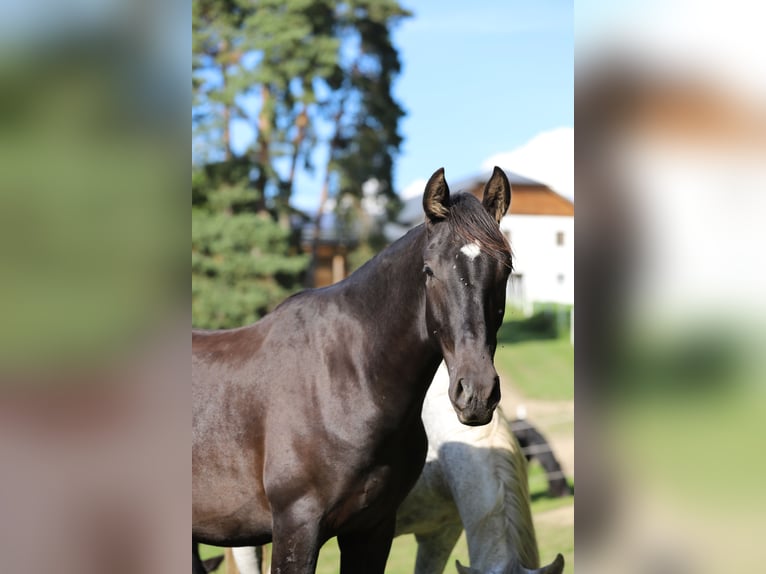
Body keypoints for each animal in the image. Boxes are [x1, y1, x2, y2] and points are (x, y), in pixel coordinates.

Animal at [193, 167, 513, 574]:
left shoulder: (372, 530)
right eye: (429, 271)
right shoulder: (296, 528)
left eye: (505, 269)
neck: (346, 381)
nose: (476, 393)